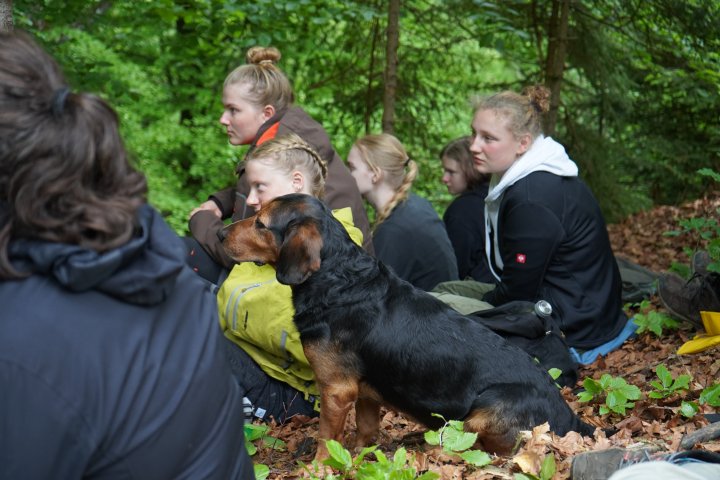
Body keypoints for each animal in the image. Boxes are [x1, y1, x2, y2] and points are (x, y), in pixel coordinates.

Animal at [221, 193, 596, 460]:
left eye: (261, 224)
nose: (221, 232)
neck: (337, 279)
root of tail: (571, 419)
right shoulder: (365, 394)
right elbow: (363, 434)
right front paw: (358, 458)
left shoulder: (336, 389)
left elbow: (327, 439)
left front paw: (317, 468)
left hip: (484, 411)